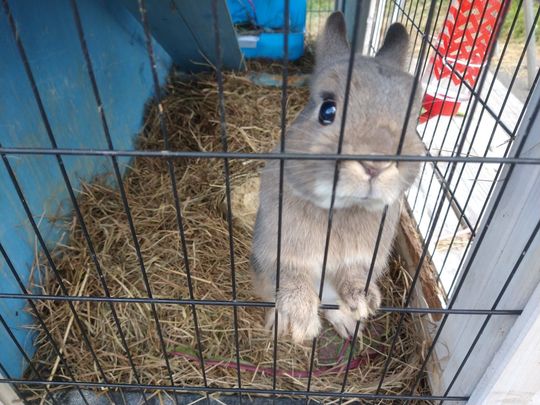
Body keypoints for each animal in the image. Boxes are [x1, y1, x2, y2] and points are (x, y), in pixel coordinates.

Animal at [251, 11, 424, 340]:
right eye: (327, 110)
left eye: (413, 120)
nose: (375, 164)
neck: (341, 208)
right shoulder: (280, 250)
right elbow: (292, 274)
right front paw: (300, 321)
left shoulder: (364, 258)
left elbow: (354, 276)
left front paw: (365, 302)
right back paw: (278, 326)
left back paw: (349, 325)